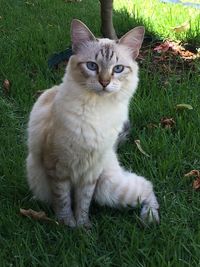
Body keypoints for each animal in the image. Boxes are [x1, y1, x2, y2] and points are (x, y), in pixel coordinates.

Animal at [26, 18, 159, 228]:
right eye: (92, 66)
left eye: (118, 69)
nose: (104, 83)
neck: (98, 110)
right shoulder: (58, 168)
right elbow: (64, 201)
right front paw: (68, 225)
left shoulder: (91, 173)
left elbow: (83, 202)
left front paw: (82, 227)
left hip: (108, 189)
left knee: (146, 186)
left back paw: (150, 218)